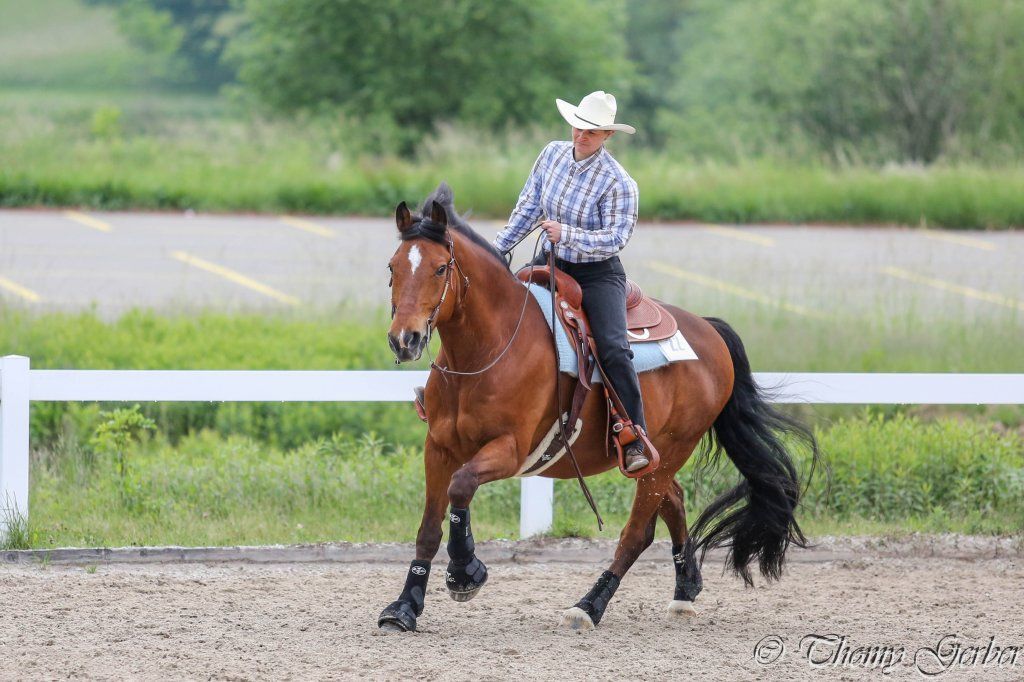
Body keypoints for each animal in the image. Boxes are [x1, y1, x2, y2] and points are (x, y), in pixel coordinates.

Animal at [378, 183, 817, 632]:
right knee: (674, 501)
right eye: (393, 267)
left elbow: (462, 486)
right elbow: (428, 528)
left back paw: (589, 605)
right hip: (661, 459)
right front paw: (405, 606)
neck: (488, 349)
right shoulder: (439, 448)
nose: (404, 339)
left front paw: (466, 572)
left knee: (637, 533)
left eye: (440, 268)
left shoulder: (510, 450)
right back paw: (684, 590)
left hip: (668, 452)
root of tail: (709, 330)